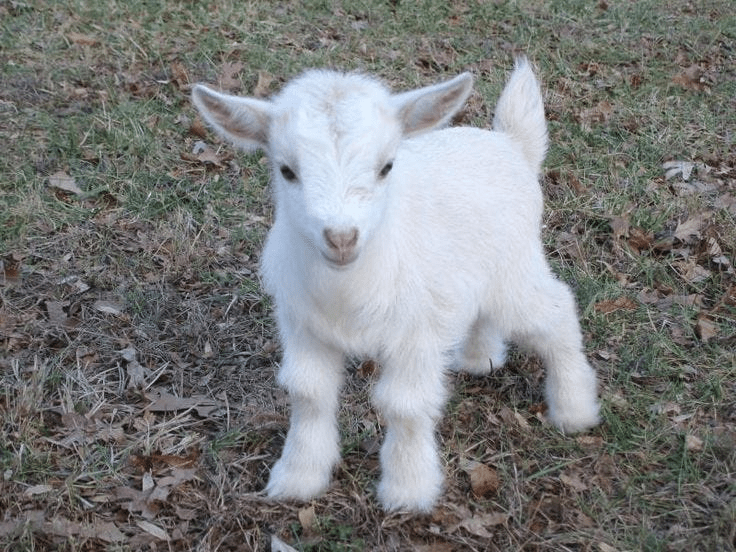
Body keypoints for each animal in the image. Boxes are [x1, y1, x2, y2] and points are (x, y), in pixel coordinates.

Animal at [191, 58, 600, 512]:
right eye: (286, 170)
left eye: (386, 166)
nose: (341, 239)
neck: (348, 291)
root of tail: (512, 144)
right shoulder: (303, 325)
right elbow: (309, 393)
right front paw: (298, 477)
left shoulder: (417, 333)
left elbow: (404, 405)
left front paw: (407, 491)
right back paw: (481, 359)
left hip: (515, 270)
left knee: (556, 311)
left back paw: (574, 409)